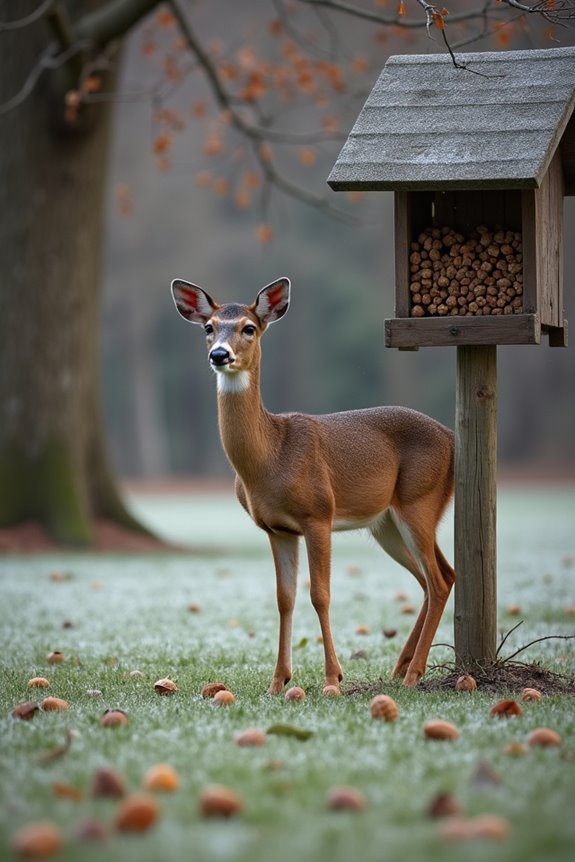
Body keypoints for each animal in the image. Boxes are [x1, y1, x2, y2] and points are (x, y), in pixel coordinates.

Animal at [171, 276, 455, 694]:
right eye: (209, 327)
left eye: (249, 328)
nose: (220, 354)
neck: (271, 456)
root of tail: (452, 439)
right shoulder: (277, 529)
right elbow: (284, 599)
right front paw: (277, 682)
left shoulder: (319, 514)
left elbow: (320, 595)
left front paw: (332, 678)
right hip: (387, 523)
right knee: (437, 577)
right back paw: (400, 667)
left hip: (420, 500)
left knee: (436, 581)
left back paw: (413, 674)